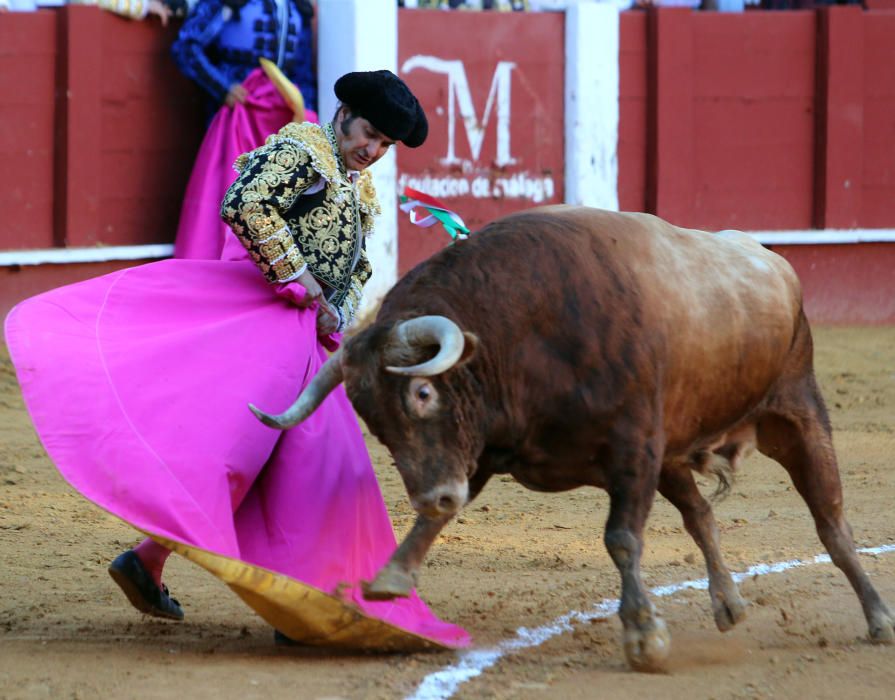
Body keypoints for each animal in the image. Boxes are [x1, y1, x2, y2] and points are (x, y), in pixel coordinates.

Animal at [248, 205, 892, 668]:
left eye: (423, 394)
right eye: (373, 423)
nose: (432, 493)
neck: (520, 334)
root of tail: (771, 260)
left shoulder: (633, 448)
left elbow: (622, 540)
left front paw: (643, 636)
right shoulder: (489, 446)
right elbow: (444, 516)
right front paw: (391, 578)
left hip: (797, 413)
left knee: (832, 524)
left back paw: (878, 618)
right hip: (673, 451)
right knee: (702, 515)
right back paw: (728, 604)